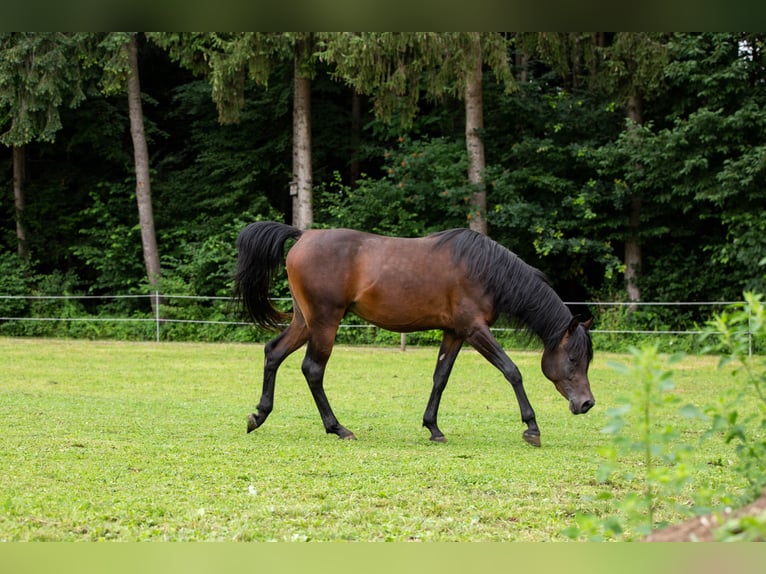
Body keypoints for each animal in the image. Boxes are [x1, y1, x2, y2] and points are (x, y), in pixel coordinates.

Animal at [231, 223, 596, 448]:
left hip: (305, 322)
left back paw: (259, 415)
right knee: (313, 370)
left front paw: (433, 428)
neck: (485, 269)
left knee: (273, 352)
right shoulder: (475, 329)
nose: (587, 403)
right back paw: (338, 428)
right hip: (324, 323)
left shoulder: (455, 332)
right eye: (573, 358)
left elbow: (440, 378)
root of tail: (303, 235)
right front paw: (531, 427)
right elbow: (512, 371)